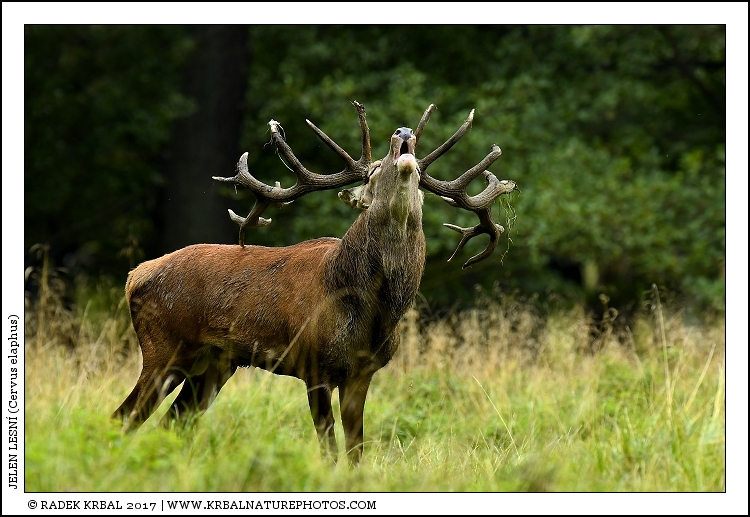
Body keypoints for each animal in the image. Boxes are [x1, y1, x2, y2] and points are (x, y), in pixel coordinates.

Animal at [112, 101, 517, 464]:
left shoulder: (362, 372)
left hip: (214, 363)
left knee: (172, 422)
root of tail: (135, 275)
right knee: (126, 416)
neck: (373, 311)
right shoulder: (314, 363)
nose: (403, 134)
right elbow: (329, 447)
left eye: (418, 177)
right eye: (371, 175)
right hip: (164, 347)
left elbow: (356, 449)